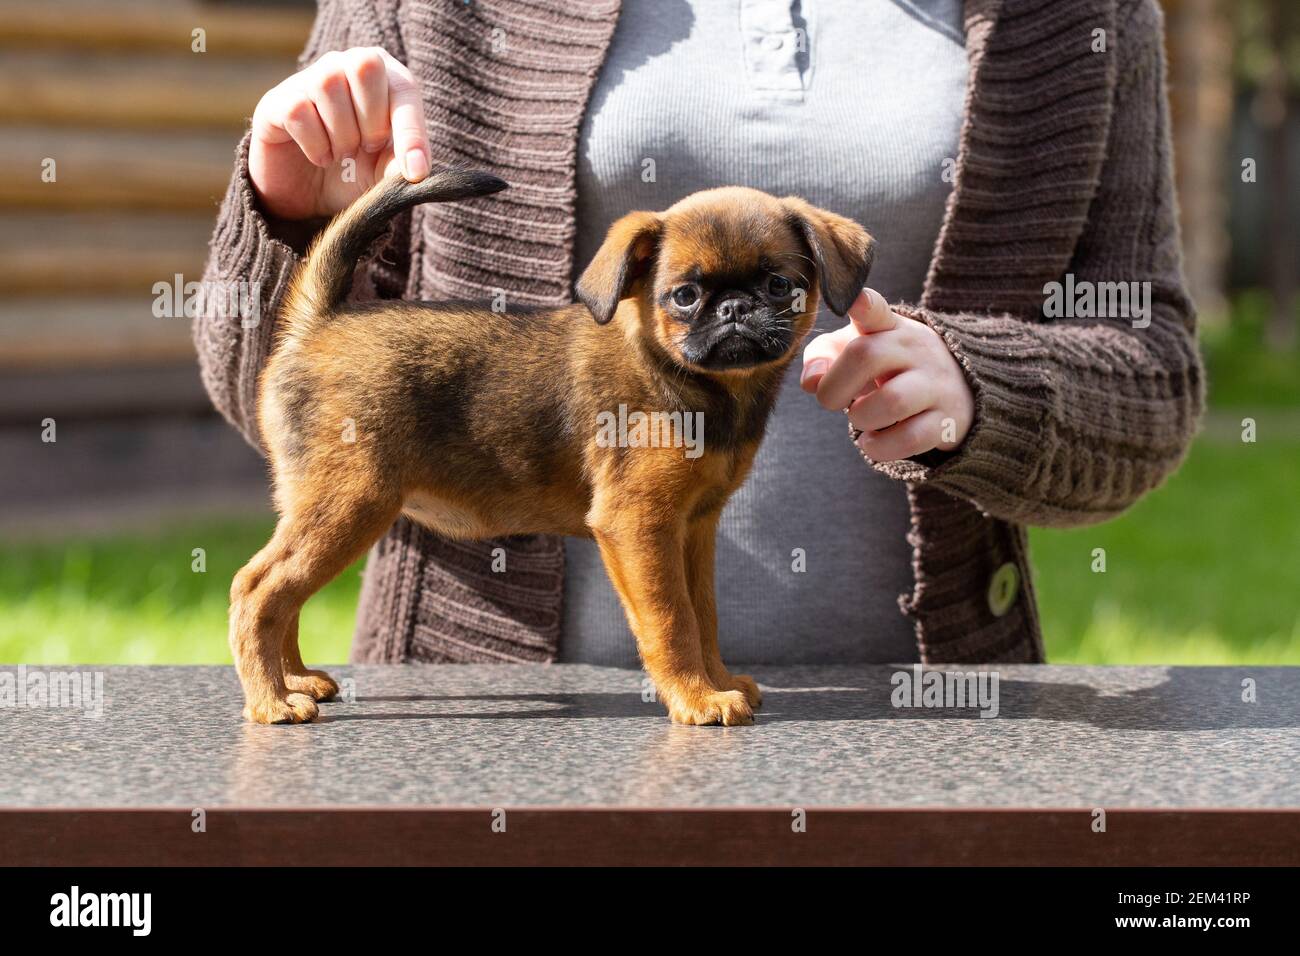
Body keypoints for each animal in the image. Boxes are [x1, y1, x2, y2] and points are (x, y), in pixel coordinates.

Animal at [231, 170, 873, 723]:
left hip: (315, 508)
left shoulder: (694, 528)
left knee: (284, 594)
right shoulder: (640, 525)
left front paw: (718, 680)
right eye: (685, 295)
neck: (693, 382)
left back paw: (295, 681)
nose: (735, 308)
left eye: (779, 286)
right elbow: (672, 620)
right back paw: (271, 701)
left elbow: (704, 614)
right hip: (349, 505)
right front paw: (696, 697)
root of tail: (319, 324)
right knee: (258, 589)